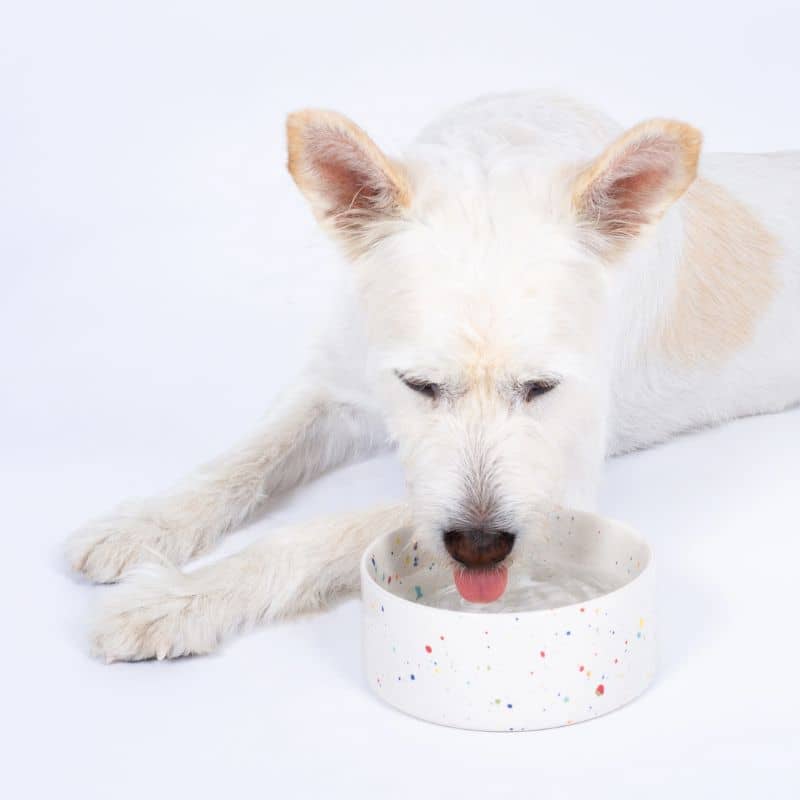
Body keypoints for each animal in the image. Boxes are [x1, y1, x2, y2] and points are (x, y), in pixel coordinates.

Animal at [64, 90, 800, 660]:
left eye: (542, 388)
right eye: (419, 385)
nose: (480, 548)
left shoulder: (561, 481)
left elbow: (314, 532)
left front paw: (179, 598)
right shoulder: (335, 388)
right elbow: (244, 460)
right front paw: (145, 525)